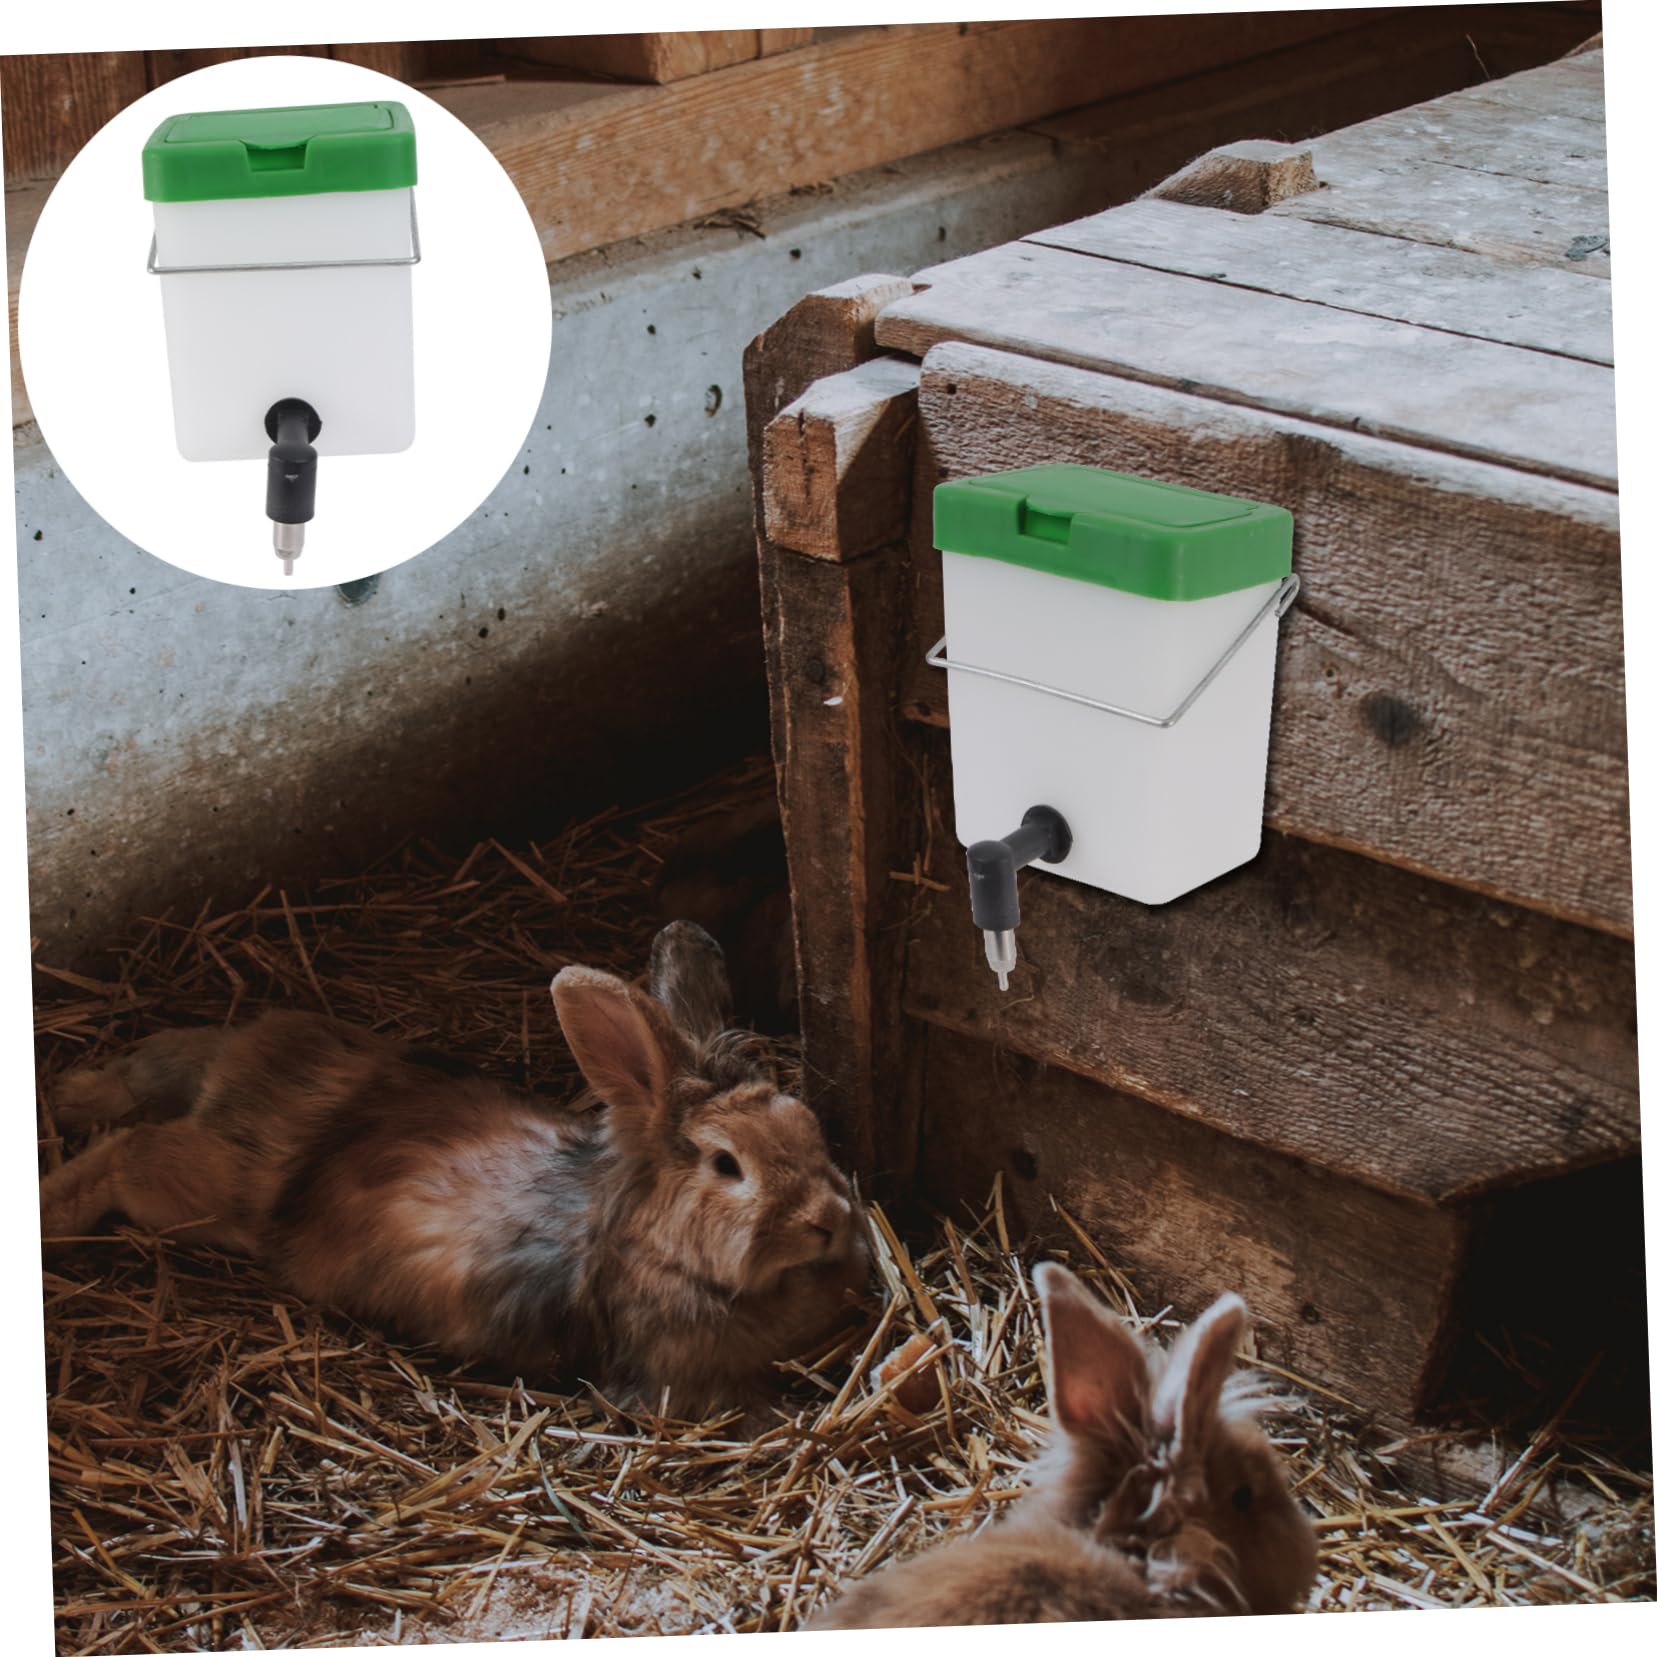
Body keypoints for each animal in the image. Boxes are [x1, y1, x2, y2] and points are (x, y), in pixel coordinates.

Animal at [39, 920, 868, 1420]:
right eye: (727, 1164)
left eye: (806, 1126)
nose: (828, 1220)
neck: (658, 1249)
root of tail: (246, 1064)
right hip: (204, 1190)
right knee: (128, 1150)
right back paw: (52, 1206)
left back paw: (68, 1094)